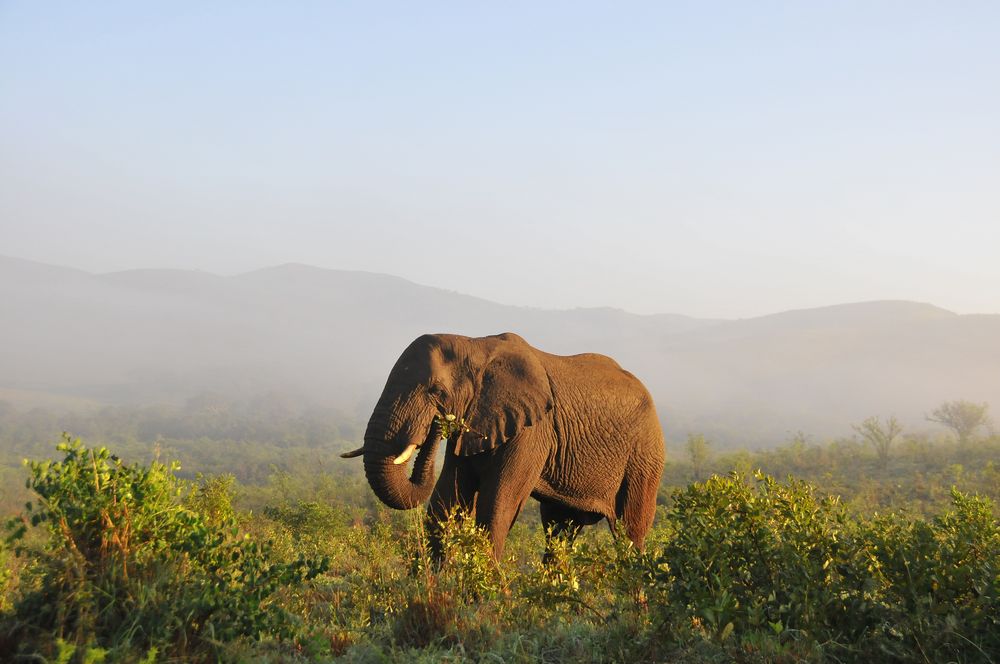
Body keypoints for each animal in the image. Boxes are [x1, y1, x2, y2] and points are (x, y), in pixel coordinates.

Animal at [342, 332, 664, 560]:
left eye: (436, 391)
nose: (436, 424)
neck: (474, 345)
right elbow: (446, 499)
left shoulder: (533, 430)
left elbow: (498, 503)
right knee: (559, 529)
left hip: (645, 456)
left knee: (630, 532)